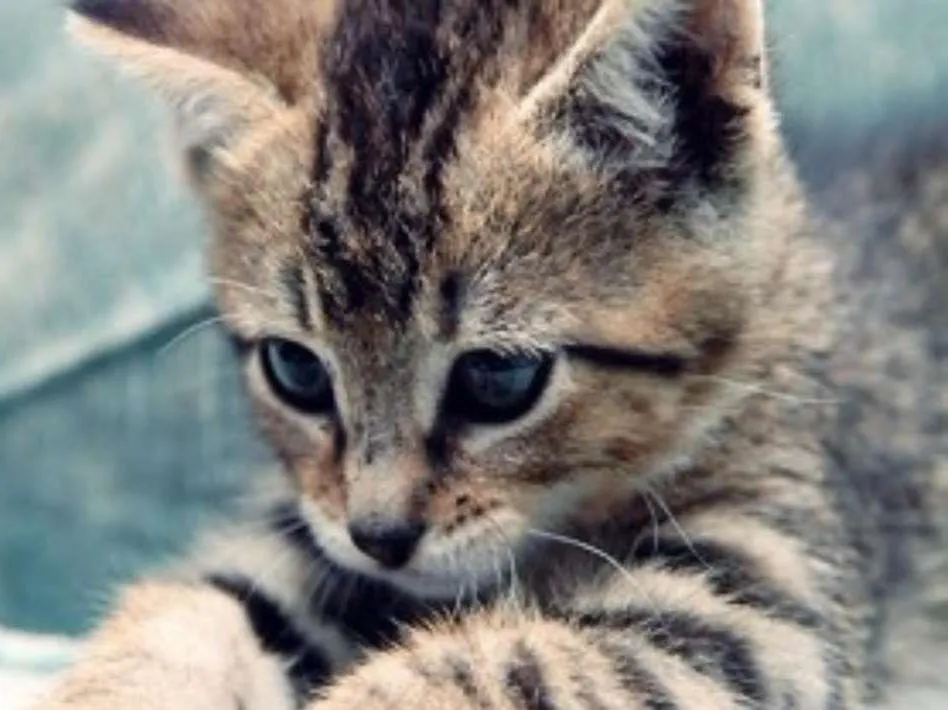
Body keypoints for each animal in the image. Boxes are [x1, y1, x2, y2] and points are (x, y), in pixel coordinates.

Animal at [35, 1, 946, 708]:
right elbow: (196, 606)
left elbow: (505, 665)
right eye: (296, 372)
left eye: (498, 378)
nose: (381, 536)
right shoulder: (307, 529)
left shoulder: (767, 603)